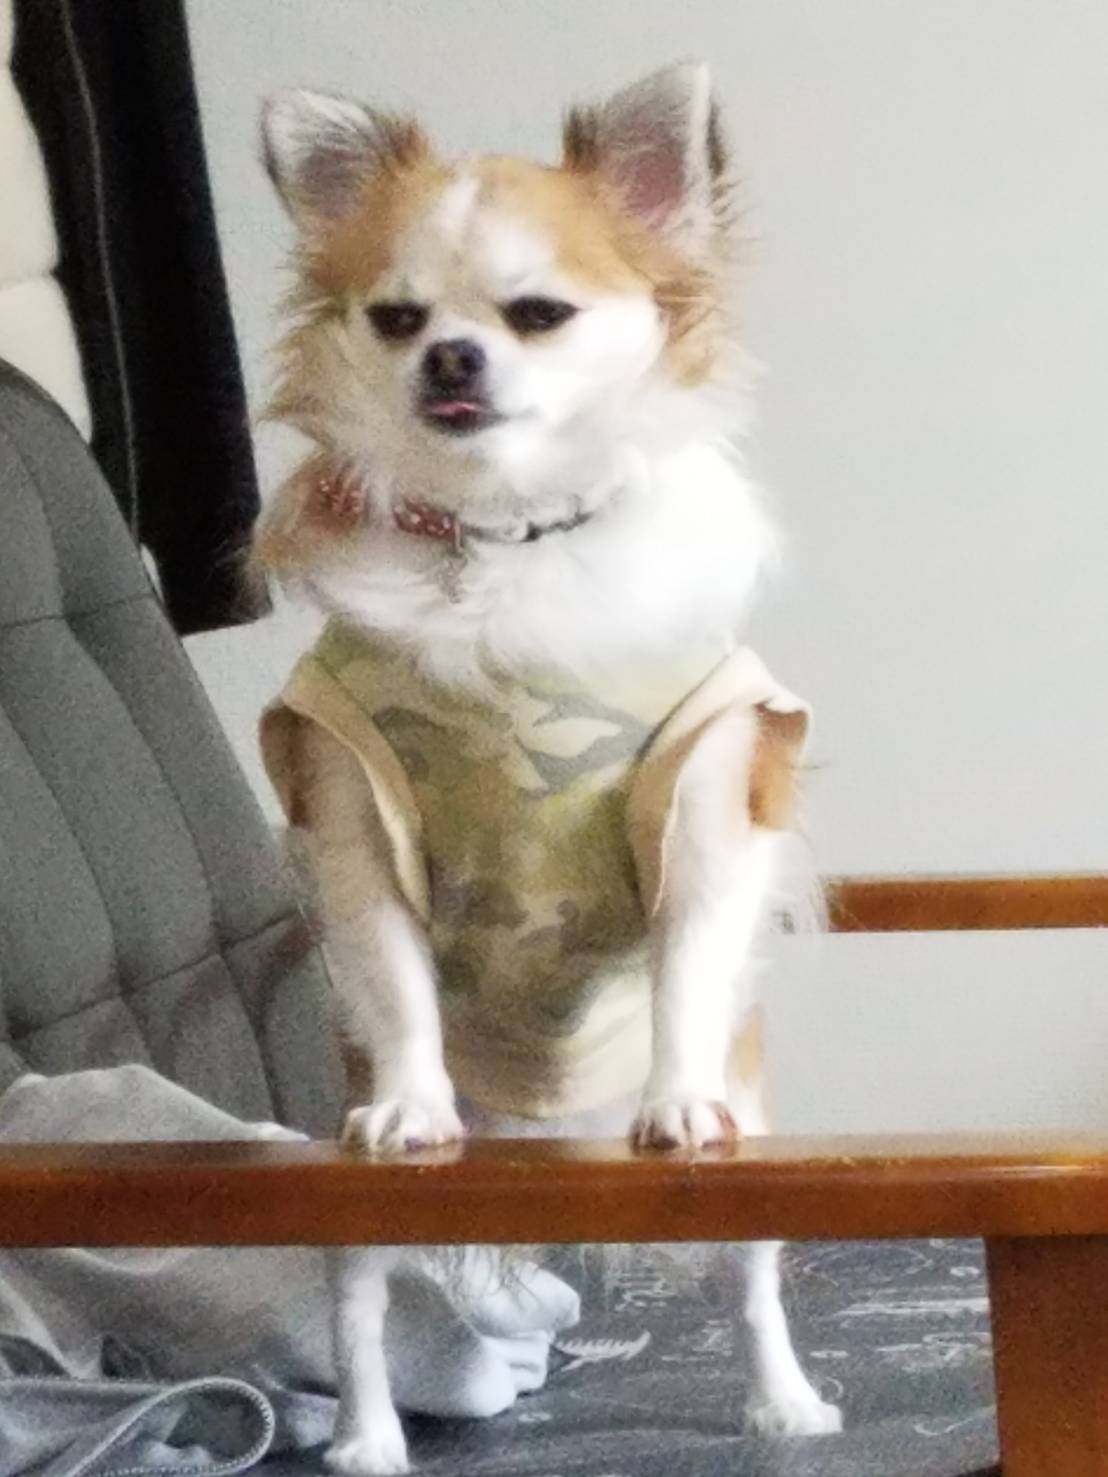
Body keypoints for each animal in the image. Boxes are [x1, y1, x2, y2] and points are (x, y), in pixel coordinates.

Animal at [255, 61, 841, 1475]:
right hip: (352, 1210)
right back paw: (365, 1437)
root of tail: (541, 1138)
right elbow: (399, 982)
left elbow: (687, 959)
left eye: (537, 315)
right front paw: (414, 1103)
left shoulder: (707, 798)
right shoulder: (355, 828)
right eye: (396, 317)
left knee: (750, 1280)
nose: (452, 357)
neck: (503, 539)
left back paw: (782, 1402)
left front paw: (673, 1096)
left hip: (757, 1149)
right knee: (359, 1311)